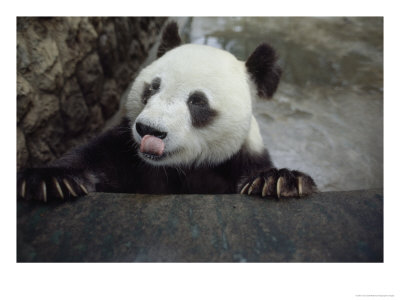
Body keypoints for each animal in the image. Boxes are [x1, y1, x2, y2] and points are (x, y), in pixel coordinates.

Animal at [17, 21, 318, 202]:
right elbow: (90, 158)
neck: (175, 168)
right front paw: (50, 181)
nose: (149, 131)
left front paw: (279, 181)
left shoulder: (238, 158)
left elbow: (257, 173)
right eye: (152, 87)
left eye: (197, 102)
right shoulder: (124, 147)